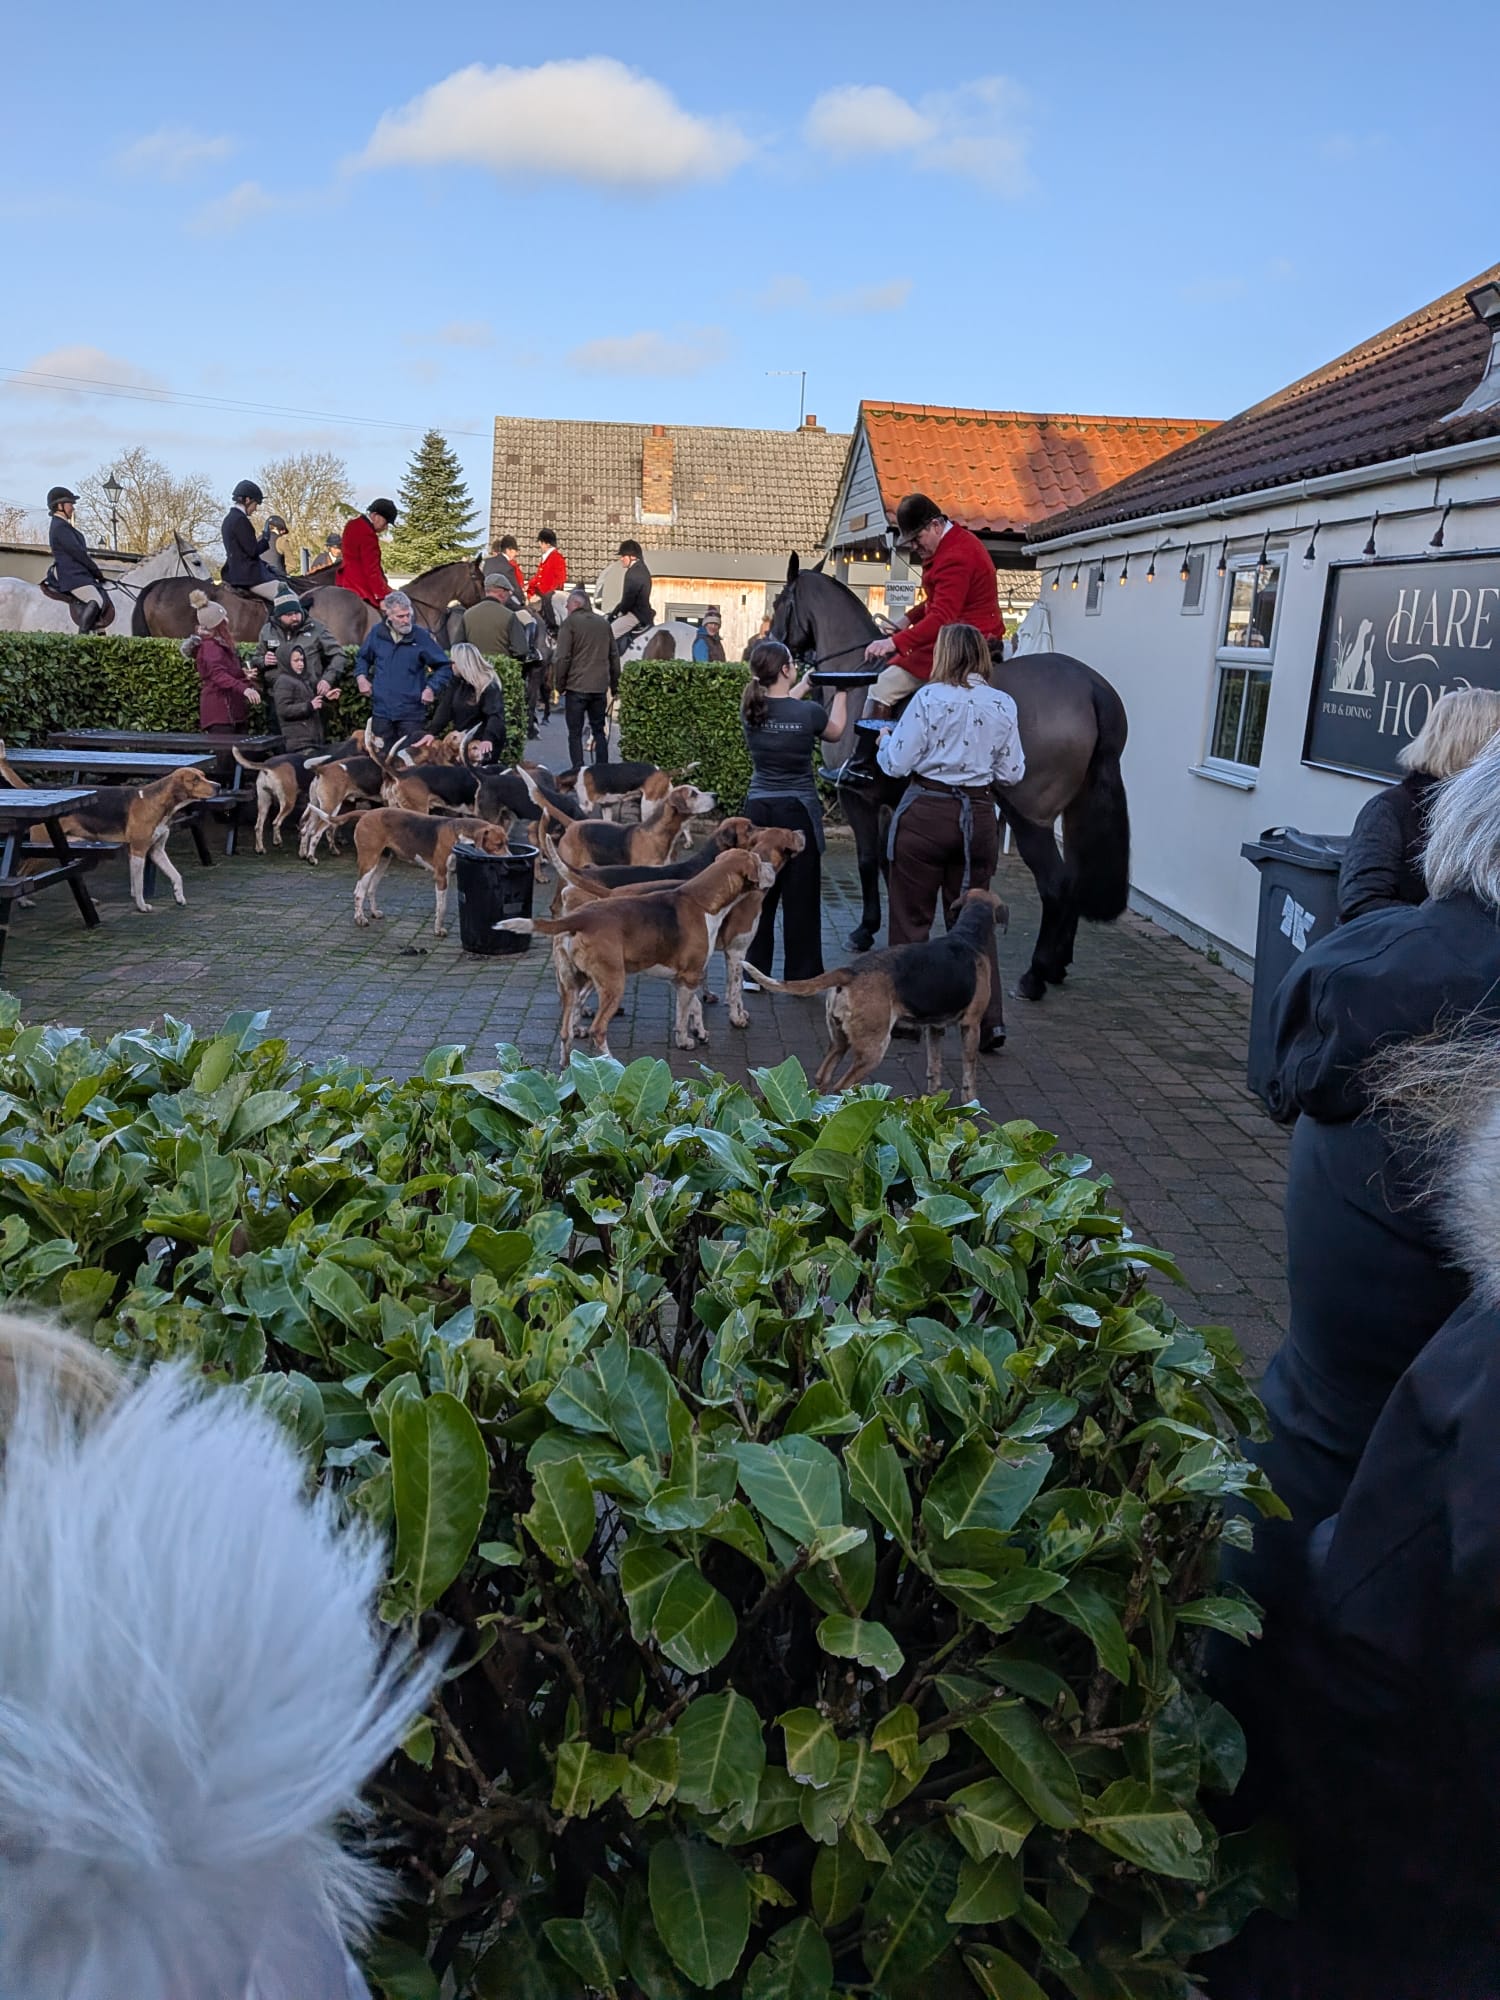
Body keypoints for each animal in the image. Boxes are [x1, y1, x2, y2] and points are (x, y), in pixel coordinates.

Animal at [40, 768, 220, 913]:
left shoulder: (157, 851)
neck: (157, 804)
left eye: (204, 776)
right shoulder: (138, 851)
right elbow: (139, 884)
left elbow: (176, 875)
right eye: (195, 779)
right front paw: (142, 906)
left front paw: (179, 897)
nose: (218, 786)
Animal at [352, 809, 511, 936]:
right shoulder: (441, 876)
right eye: (498, 845)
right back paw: (360, 919)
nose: (510, 859)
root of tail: (367, 813)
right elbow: (442, 907)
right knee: (359, 893)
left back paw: (374, 912)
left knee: (370, 889)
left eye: (507, 843)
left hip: (382, 862)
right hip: (369, 862)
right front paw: (438, 930)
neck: (460, 837)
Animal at [496, 848, 771, 1058]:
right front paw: (686, 1040)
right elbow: (686, 1014)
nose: (771, 866)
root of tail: (578, 918)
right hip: (613, 983)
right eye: (759, 861)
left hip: (574, 983)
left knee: (566, 1031)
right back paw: (609, 1064)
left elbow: (690, 1007)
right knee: (598, 1030)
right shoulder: (694, 973)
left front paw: (698, 1032)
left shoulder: (680, 979)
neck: (702, 900)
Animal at [744, 889, 1008, 1098]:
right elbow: (969, 1072)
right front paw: (971, 1102)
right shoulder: (971, 1025)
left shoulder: (935, 1027)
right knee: (840, 1087)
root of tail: (849, 971)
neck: (968, 934)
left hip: (840, 1040)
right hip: (874, 1049)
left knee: (823, 1076)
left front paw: (933, 1097)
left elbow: (934, 1067)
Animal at [769, 556, 1131, 1002]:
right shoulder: (894, 801)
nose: (765, 647)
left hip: (1029, 816)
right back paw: (1058, 964)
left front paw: (865, 930)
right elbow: (890, 863)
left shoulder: (860, 798)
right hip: (1072, 810)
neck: (855, 680)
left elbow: (869, 860)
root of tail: (1091, 688)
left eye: (779, 601)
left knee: (1057, 884)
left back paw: (1035, 974)